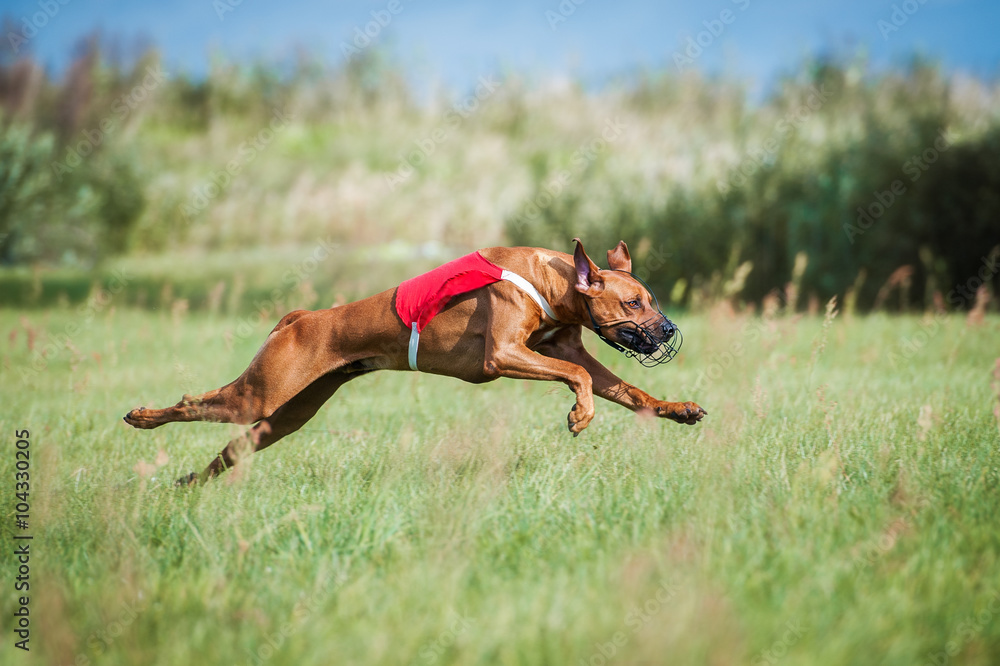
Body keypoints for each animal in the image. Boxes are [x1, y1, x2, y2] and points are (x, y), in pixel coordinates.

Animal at [123, 239, 704, 482]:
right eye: (634, 304)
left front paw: (678, 409)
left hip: (287, 414)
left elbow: (627, 389)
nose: (669, 330)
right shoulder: (503, 355)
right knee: (195, 402)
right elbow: (580, 375)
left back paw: (190, 483)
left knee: (234, 447)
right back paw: (142, 417)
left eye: (651, 299)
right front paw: (580, 414)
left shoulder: (563, 349)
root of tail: (302, 317)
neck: (551, 279)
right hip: (260, 394)